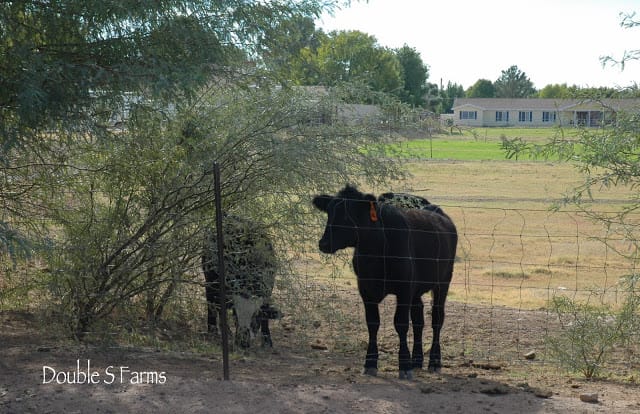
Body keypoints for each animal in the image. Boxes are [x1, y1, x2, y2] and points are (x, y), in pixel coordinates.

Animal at [201, 217, 278, 350]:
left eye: (255, 316)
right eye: (236, 315)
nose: (243, 342)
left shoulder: (268, 290)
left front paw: (267, 340)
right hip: (210, 283)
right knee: (213, 305)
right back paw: (214, 330)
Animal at [312, 186, 458, 380]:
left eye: (348, 215)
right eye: (329, 212)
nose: (324, 243)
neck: (376, 251)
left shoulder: (404, 288)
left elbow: (401, 324)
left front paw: (404, 366)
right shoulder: (366, 288)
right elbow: (373, 323)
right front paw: (370, 363)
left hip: (443, 281)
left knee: (437, 319)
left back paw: (434, 362)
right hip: (416, 290)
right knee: (418, 320)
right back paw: (416, 360)